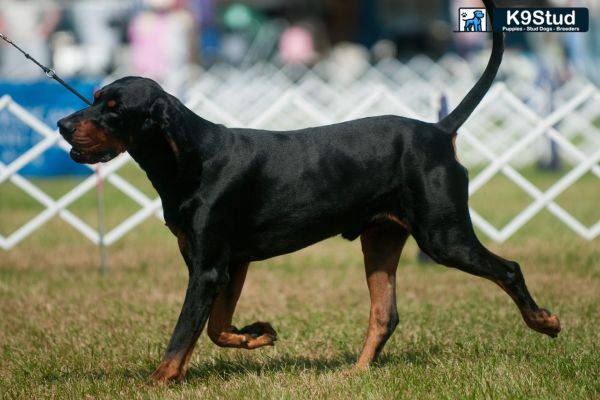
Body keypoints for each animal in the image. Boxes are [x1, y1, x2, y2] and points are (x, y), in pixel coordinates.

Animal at [58, 0, 560, 384]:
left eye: (115, 109)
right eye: (95, 96)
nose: (62, 124)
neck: (191, 158)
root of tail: (439, 129)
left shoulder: (208, 267)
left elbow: (184, 334)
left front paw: (159, 381)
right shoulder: (229, 263)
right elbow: (216, 327)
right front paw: (258, 333)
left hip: (444, 236)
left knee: (509, 269)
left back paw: (545, 321)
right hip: (381, 238)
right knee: (385, 314)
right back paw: (355, 373)